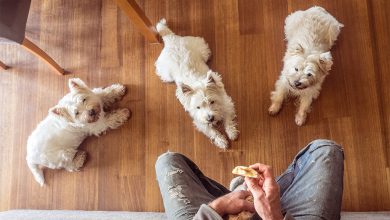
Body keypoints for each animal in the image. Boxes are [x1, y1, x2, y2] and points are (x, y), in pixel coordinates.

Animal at [155, 19, 239, 150]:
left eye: (212, 101)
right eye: (198, 107)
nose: (210, 118)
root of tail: (170, 38)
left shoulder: (227, 104)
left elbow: (228, 120)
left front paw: (232, 133)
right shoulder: (199, 120)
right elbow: (212, 131)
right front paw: (221, 141)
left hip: (203, 49)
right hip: (166, 75)